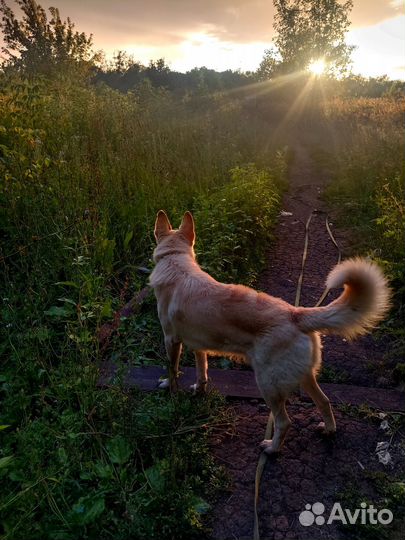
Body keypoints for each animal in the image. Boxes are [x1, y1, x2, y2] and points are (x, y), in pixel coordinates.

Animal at [150, 209, 390, 454]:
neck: (175, 260)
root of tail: (296, 313)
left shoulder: (171, 340)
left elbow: (172, 369)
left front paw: (170, 389)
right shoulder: (200, 346)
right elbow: (202, 371)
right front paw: (198, 389)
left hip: (267, 384)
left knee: (284, 422)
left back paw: (271, 448)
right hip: (304, 376)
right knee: (324, 401)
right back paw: (328, 430)